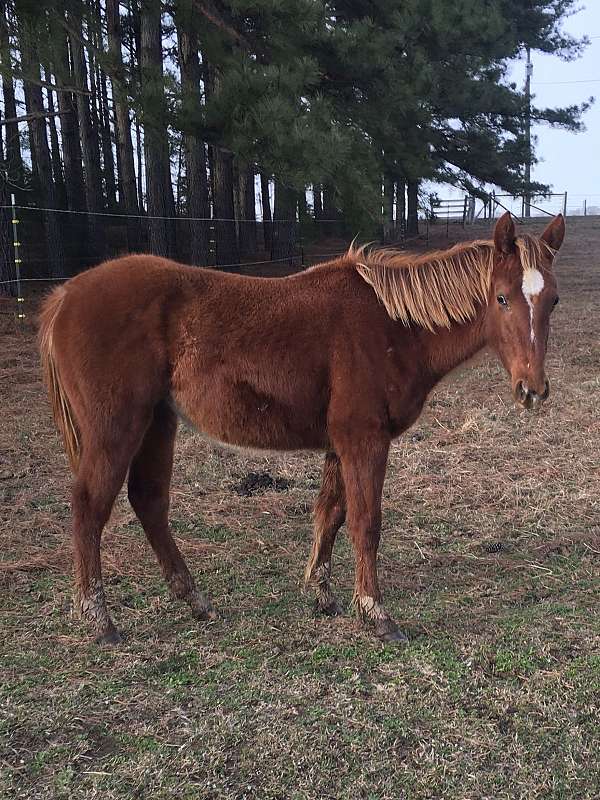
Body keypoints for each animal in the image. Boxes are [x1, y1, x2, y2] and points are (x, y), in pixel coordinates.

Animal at [39, 212, 564, 644]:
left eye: (553, 301)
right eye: (501, 298)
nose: (532, 389)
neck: (393, 327)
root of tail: (66, 295)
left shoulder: (341, 444)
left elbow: (330, 514)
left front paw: (323, 595)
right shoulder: (363, 441)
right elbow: (365, 523)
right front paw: (376, 614)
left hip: (157, 423)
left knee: (149, 502)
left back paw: (196, 602)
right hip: (116, 428)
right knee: (89, 507)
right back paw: (101, 620)